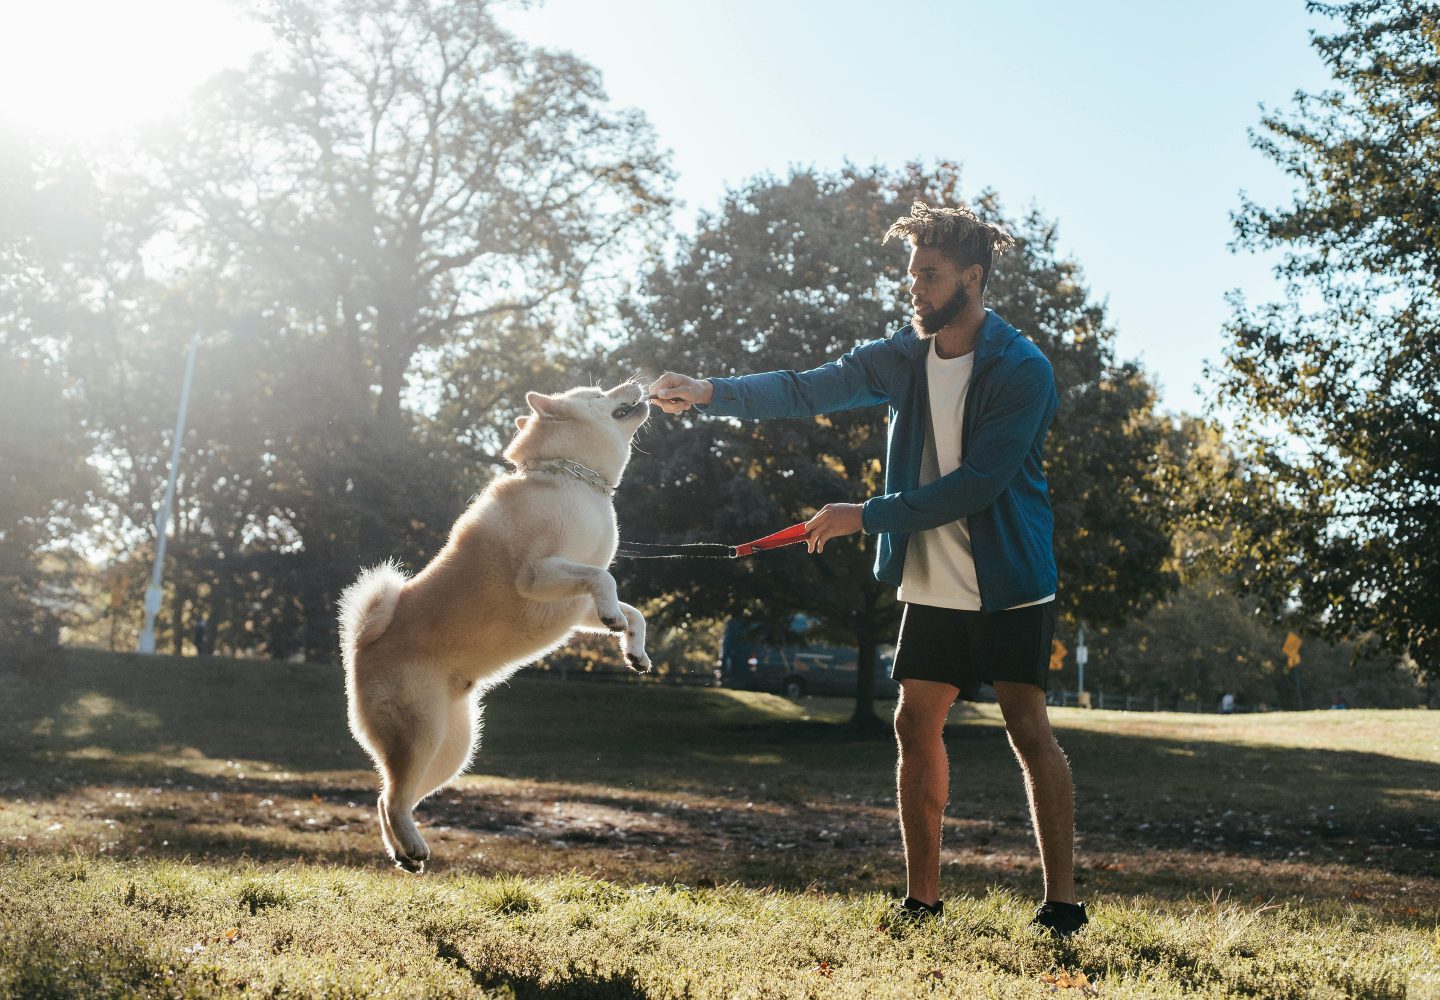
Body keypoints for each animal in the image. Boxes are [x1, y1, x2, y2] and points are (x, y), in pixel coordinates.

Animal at [336, 380, 653, 876]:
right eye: (599, 393)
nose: (636, 383)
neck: (575, 478)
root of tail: (361, 647)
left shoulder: (575, 605)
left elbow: (628, 606)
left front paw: (634, 649)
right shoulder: (539, 575)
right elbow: (605, 578)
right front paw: (616, 621)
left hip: (453, 750)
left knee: (389, 798)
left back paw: (404, 852)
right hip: (422, 733)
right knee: (391, 798)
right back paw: (412, 846)